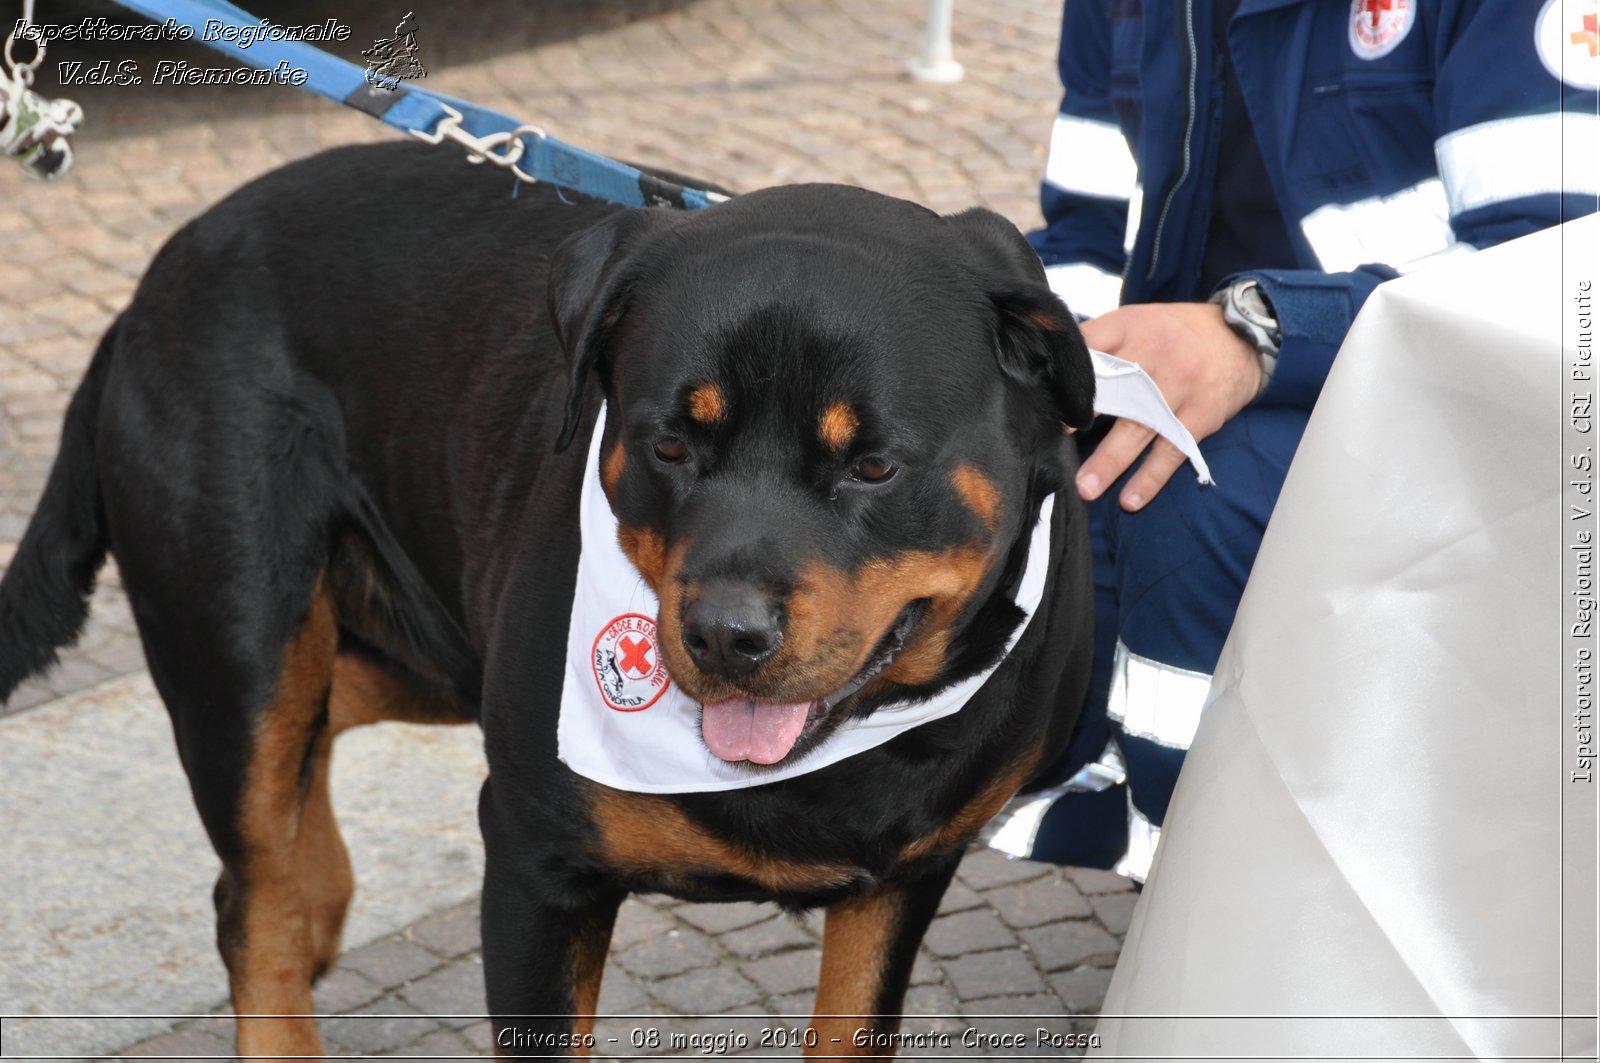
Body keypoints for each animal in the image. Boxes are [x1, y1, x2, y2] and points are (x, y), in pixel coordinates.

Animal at [0, 139, 1094, 1056]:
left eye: (871, 463)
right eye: (667, 443)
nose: (723, 633)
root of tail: (145, 296)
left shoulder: (906, 880)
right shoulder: (535, 862)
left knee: (328, 724)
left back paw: (325, 891)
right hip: (239, 649)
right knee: (251, 890)